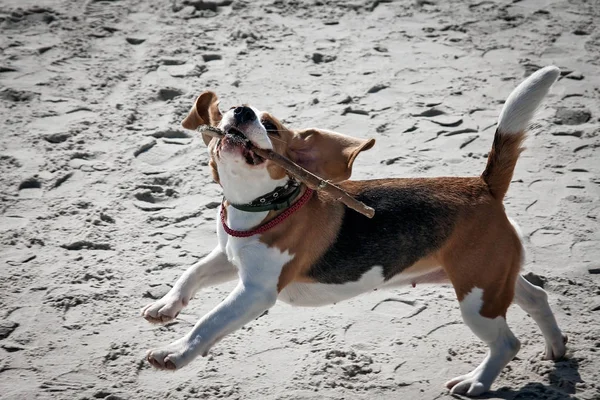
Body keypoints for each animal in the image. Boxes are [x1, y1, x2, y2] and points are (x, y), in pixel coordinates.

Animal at [142, 67, 568, 396]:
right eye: (231, 109)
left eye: (271, 126)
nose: (242, 111)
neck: (261, 206)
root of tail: (482, 185)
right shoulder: (230, 257)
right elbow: (191, 273)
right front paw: (166, 306)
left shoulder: (255, 291)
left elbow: (209, 322)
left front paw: (173, 353)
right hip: (490, 279)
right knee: (536, 297)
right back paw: (556, 347)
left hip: (476, 299)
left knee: (507, 342)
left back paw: (477, 383)